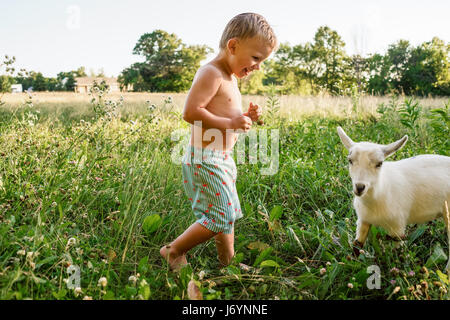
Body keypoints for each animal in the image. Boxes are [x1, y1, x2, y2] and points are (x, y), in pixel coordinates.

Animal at [338, 125, 450, 272]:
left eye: (379, 163)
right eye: (350, 160)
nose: (360, 187)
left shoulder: (398, 226)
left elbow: (398, 253)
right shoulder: (363, 220)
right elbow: (357, 245)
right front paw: (349, 265)